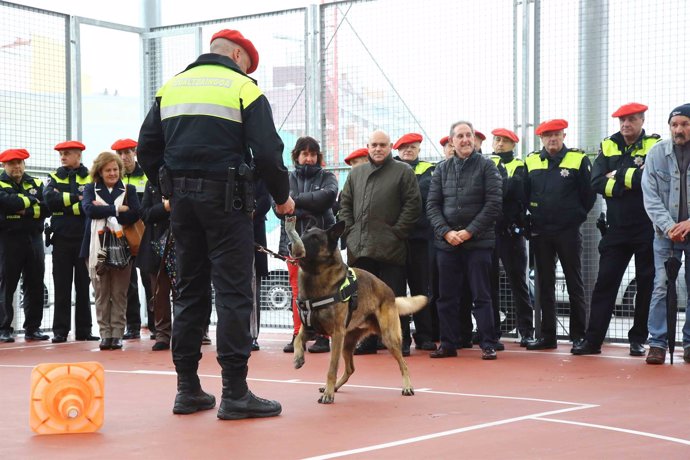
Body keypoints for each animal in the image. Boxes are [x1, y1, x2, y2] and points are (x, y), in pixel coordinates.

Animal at [284, 219, 424, 402]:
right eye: (303, 233)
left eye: (315, 238)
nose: (289, 245)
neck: (314, 276)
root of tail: (390, 293)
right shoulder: (310, 329)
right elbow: (298, 339)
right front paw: (298, 358)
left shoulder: (336, 335)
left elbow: (332, 368)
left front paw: (328, 395)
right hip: (347, 343)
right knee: (350, 369)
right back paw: (334, 387)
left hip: (388, 338)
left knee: (403, 363)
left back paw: (407, 386)